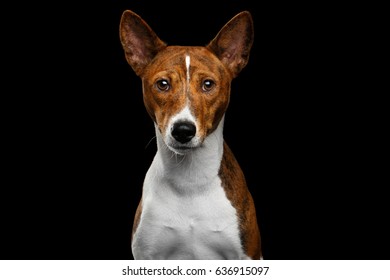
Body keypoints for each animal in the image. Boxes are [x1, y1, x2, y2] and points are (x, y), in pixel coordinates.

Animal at [119, 8, 262, 260]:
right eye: (163, 84)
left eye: (208, 84)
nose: (183, 130)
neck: (190, 182)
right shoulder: (147, 254)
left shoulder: (247, 255)